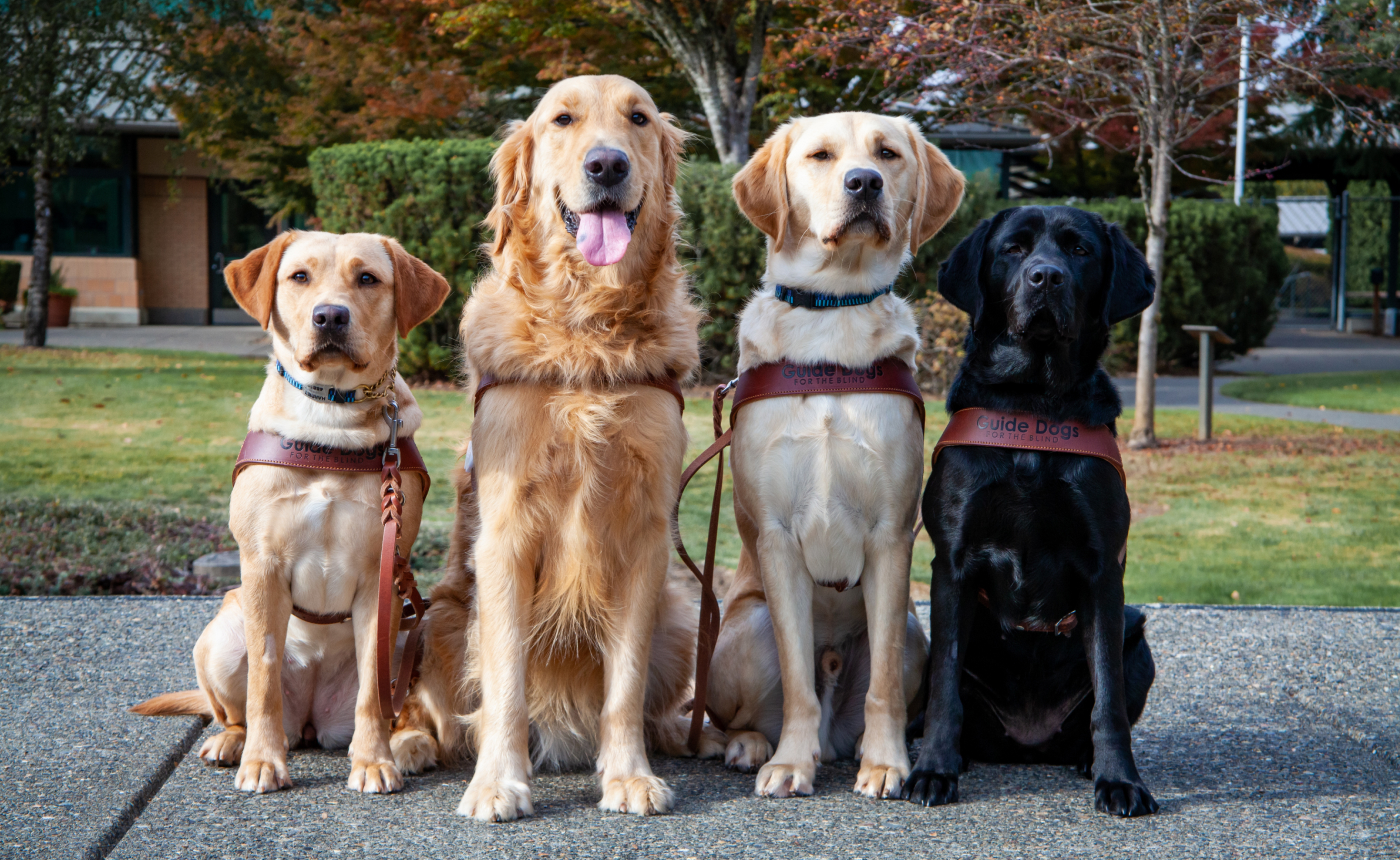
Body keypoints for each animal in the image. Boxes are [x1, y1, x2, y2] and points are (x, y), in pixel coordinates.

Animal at [130, 229, 445, 795]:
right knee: (234, 709)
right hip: (218, 637)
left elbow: (373, 690)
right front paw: (263, 759)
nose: (330, 316)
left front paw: (374, 761)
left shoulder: (380, 578)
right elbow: (264, 676)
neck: (331, 418)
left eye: (368, 278)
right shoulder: (262, 566)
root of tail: (313, 722)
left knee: (397, 702)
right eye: (300, 276)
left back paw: (407, 743)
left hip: (415, 628)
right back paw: (234, 742)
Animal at [705, 112, 968, 801]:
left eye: (888, 153)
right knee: (740, 713)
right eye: (820, 156)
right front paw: (790, 764)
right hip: (743, 633)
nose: (864, 182)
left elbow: (884, 690)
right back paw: (750, 744)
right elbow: (798, 678)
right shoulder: (774, 538)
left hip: (912, 633)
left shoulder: (890, 536)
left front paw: (886, 763)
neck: (832, 315)